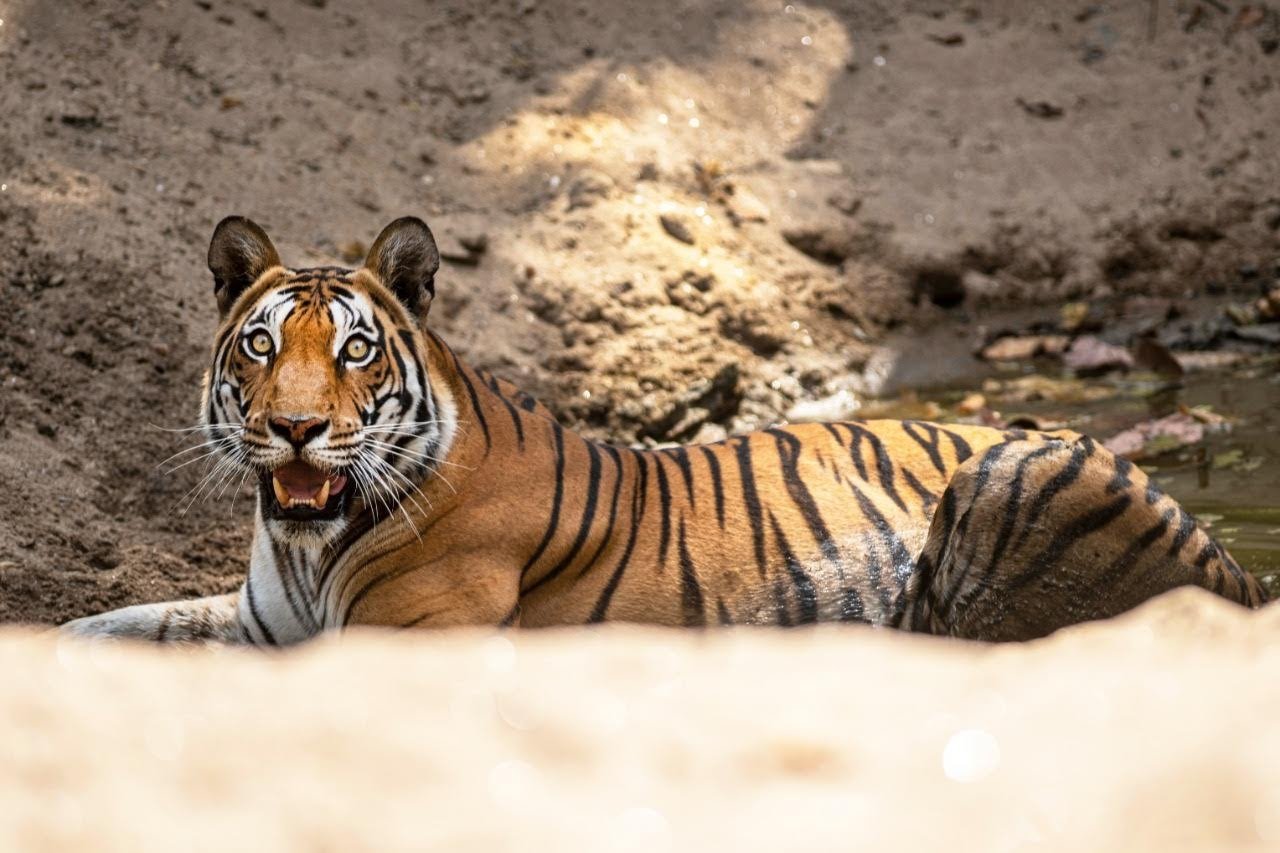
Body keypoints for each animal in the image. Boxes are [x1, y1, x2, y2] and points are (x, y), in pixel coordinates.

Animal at [61, 216, 1268, 644]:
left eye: (355, 351)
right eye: (262, 346)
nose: (297, 428)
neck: (309, 545)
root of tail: (1239, 572)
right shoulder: (257, 622)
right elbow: (125, 620)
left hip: (1014, 469)